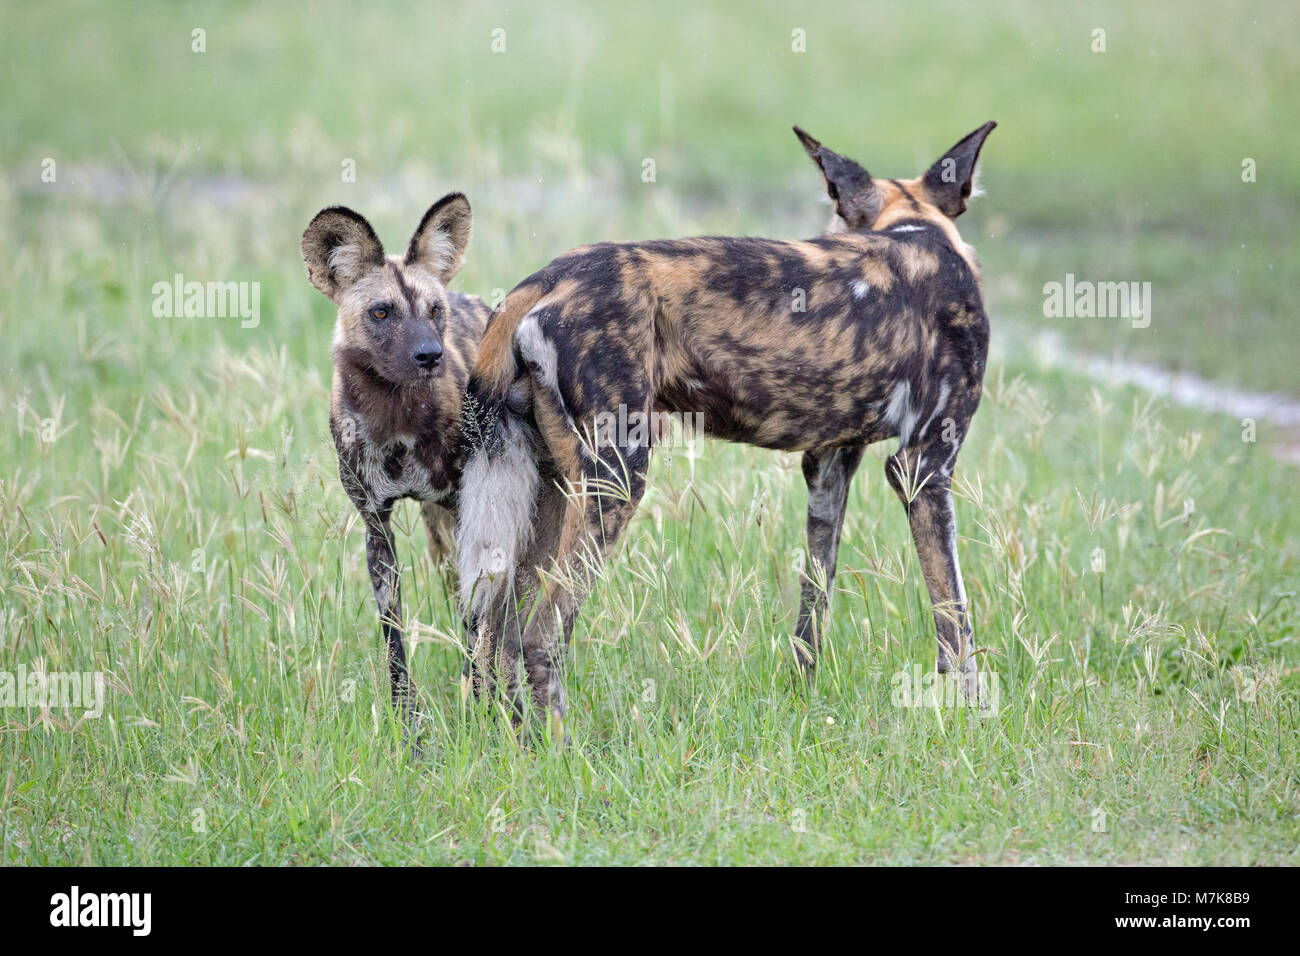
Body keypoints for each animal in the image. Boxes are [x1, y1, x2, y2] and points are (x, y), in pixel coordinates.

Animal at [301, 196, 488, 733]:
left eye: (434, 310)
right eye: (381, 311)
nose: (430, 355)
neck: (398, 418)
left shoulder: (467, 510)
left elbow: (475, 621)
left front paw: (479, 702)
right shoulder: (376, 526)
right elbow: (394, 640)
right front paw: (407, 720)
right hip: (439, 535)